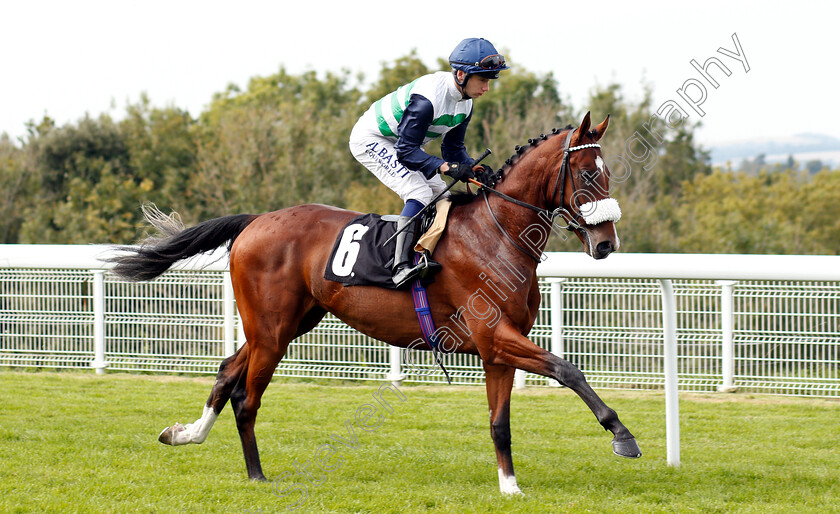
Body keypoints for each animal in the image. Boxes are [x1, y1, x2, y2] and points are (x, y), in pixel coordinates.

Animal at [108, 111, 640, 492]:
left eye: (608, 172)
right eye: (587, 175)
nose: (606, 244)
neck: (497, 234)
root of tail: (257, 219)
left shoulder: (496, 349)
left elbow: (500, 422)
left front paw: (509, 487)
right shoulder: (495, 335)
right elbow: (567, 369)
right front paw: (623, 436)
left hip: (289, 323)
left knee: (225, 371)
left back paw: (185, 433)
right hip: (272, 330)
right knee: (247, 395)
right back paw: (256, 474)